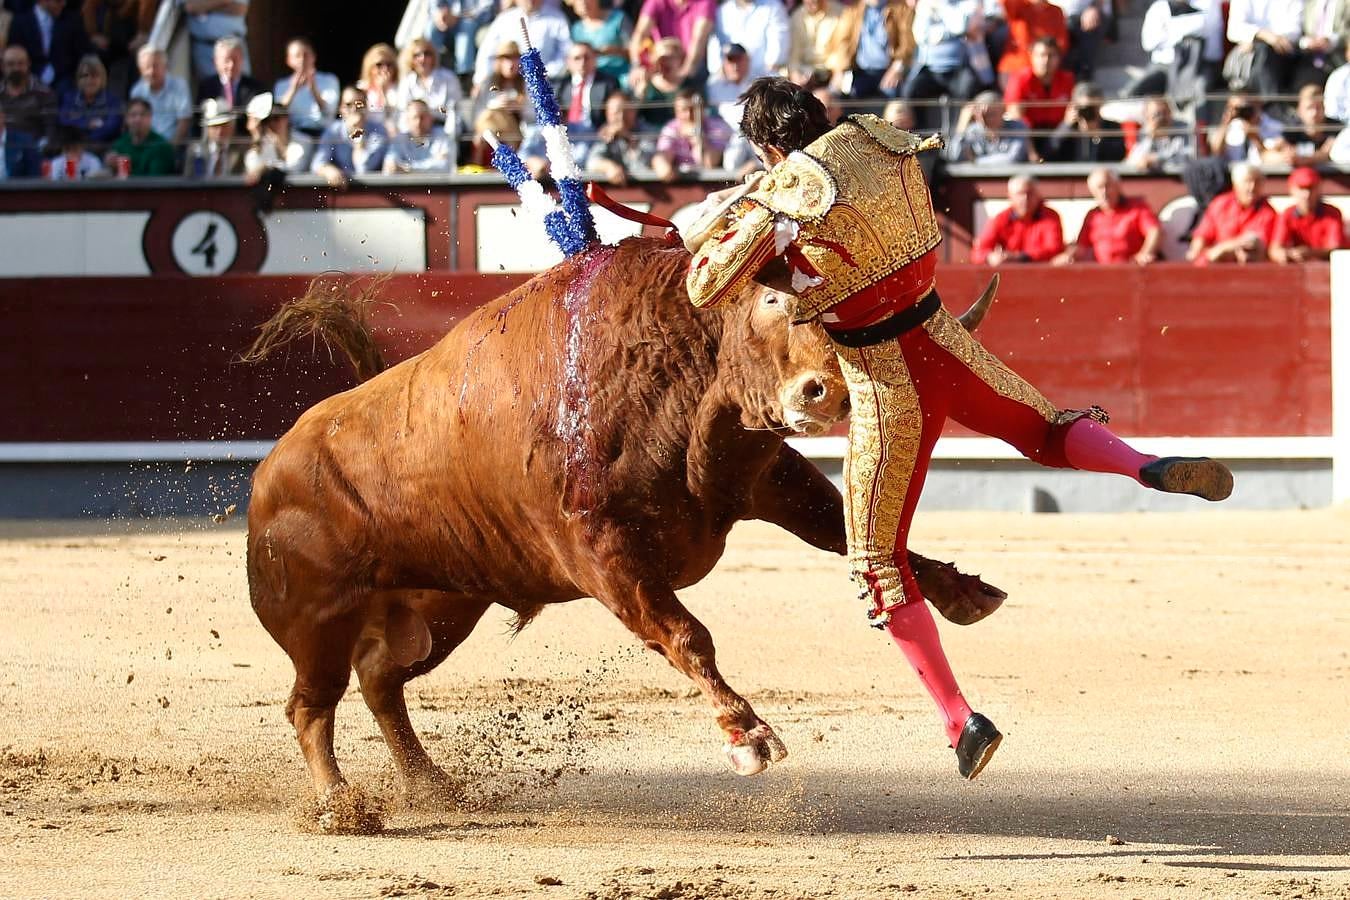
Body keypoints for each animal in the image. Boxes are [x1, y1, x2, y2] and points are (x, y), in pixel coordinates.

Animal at [245, 234, 1004, 831]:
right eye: (772, 304)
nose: (832, 393)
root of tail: (271, 470)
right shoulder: (603, 554)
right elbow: (686, 635)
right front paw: (749, 735)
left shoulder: (770, 481)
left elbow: (857, 540)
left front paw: (962, 592)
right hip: (320, 619)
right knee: (309, 706)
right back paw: (344, 806)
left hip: (444, 608)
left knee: (380, 680)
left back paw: (436, 786)